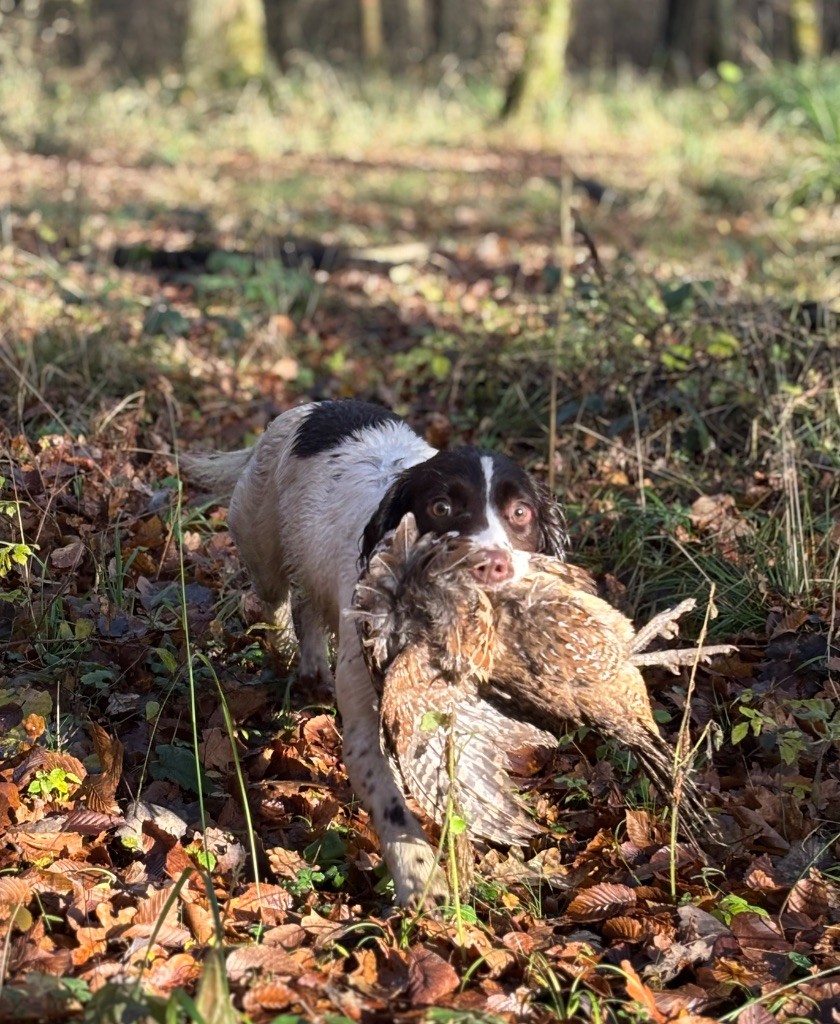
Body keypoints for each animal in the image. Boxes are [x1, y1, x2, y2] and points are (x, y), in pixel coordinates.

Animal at [181, 399, 569, 905]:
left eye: (520, 512)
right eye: (441, 507)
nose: (491, 564)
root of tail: (311, 407)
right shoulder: (368, 728)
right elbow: (392, 805)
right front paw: (422, 883)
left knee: (310, 608)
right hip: (262, 551)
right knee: (279, 604)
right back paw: (288, 656)